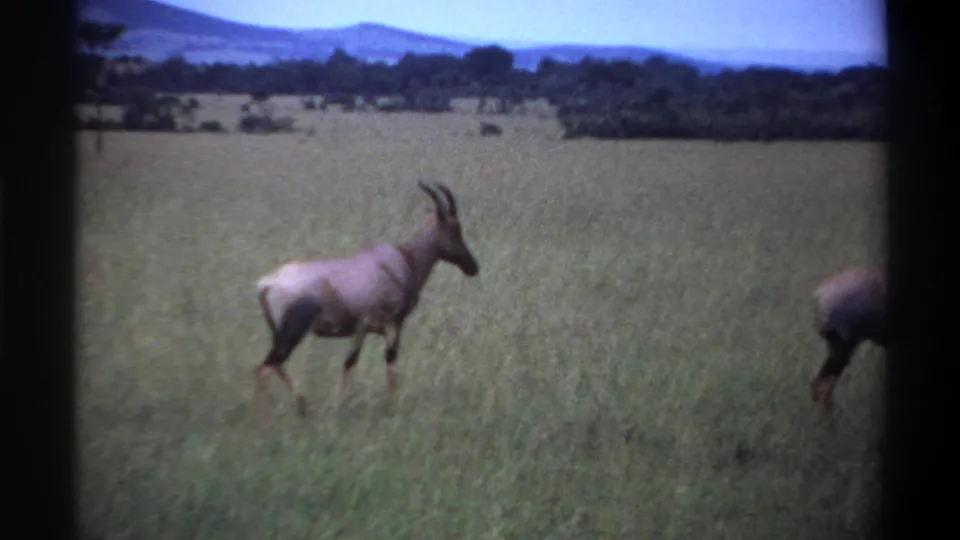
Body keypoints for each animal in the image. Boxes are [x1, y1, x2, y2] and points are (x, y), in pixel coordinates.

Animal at [253, 181, 480, 425]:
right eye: (454, 229)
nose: (472, 267)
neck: (401, 260)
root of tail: (266, 284)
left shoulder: (362, 329)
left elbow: (350, 362)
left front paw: (337, 406)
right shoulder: (389, 325)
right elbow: (388, 363)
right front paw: (390, 409)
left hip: (279, 332)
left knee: (275, 364)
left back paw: (303, 405)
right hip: (292, 332)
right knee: (265, 368)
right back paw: (266, 423)